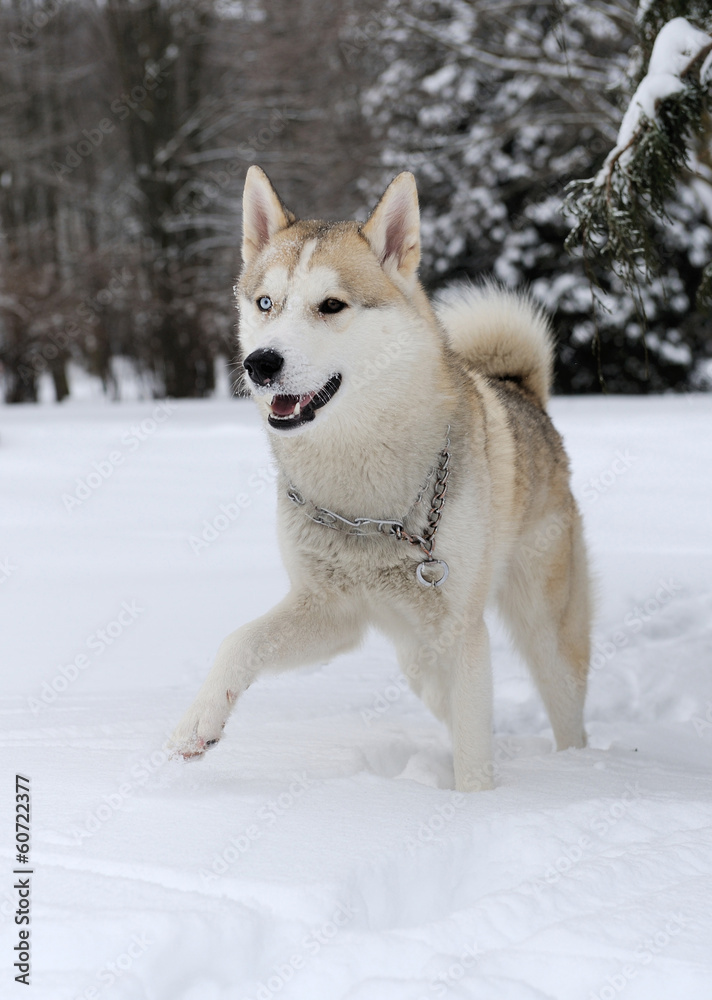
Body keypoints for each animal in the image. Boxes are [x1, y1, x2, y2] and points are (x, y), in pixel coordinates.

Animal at [170, 166, 592, 788]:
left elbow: (474, 750)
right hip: (418, 657)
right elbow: (238, 641)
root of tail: (523, 393)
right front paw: (199, 723)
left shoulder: (462, 629)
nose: (260, 364)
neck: (364, 504)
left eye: (331, 305)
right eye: (266, 302)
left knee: (565, 711)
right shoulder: (329, 610)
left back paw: (578, 770)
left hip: (542, 630)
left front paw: (477, 801)